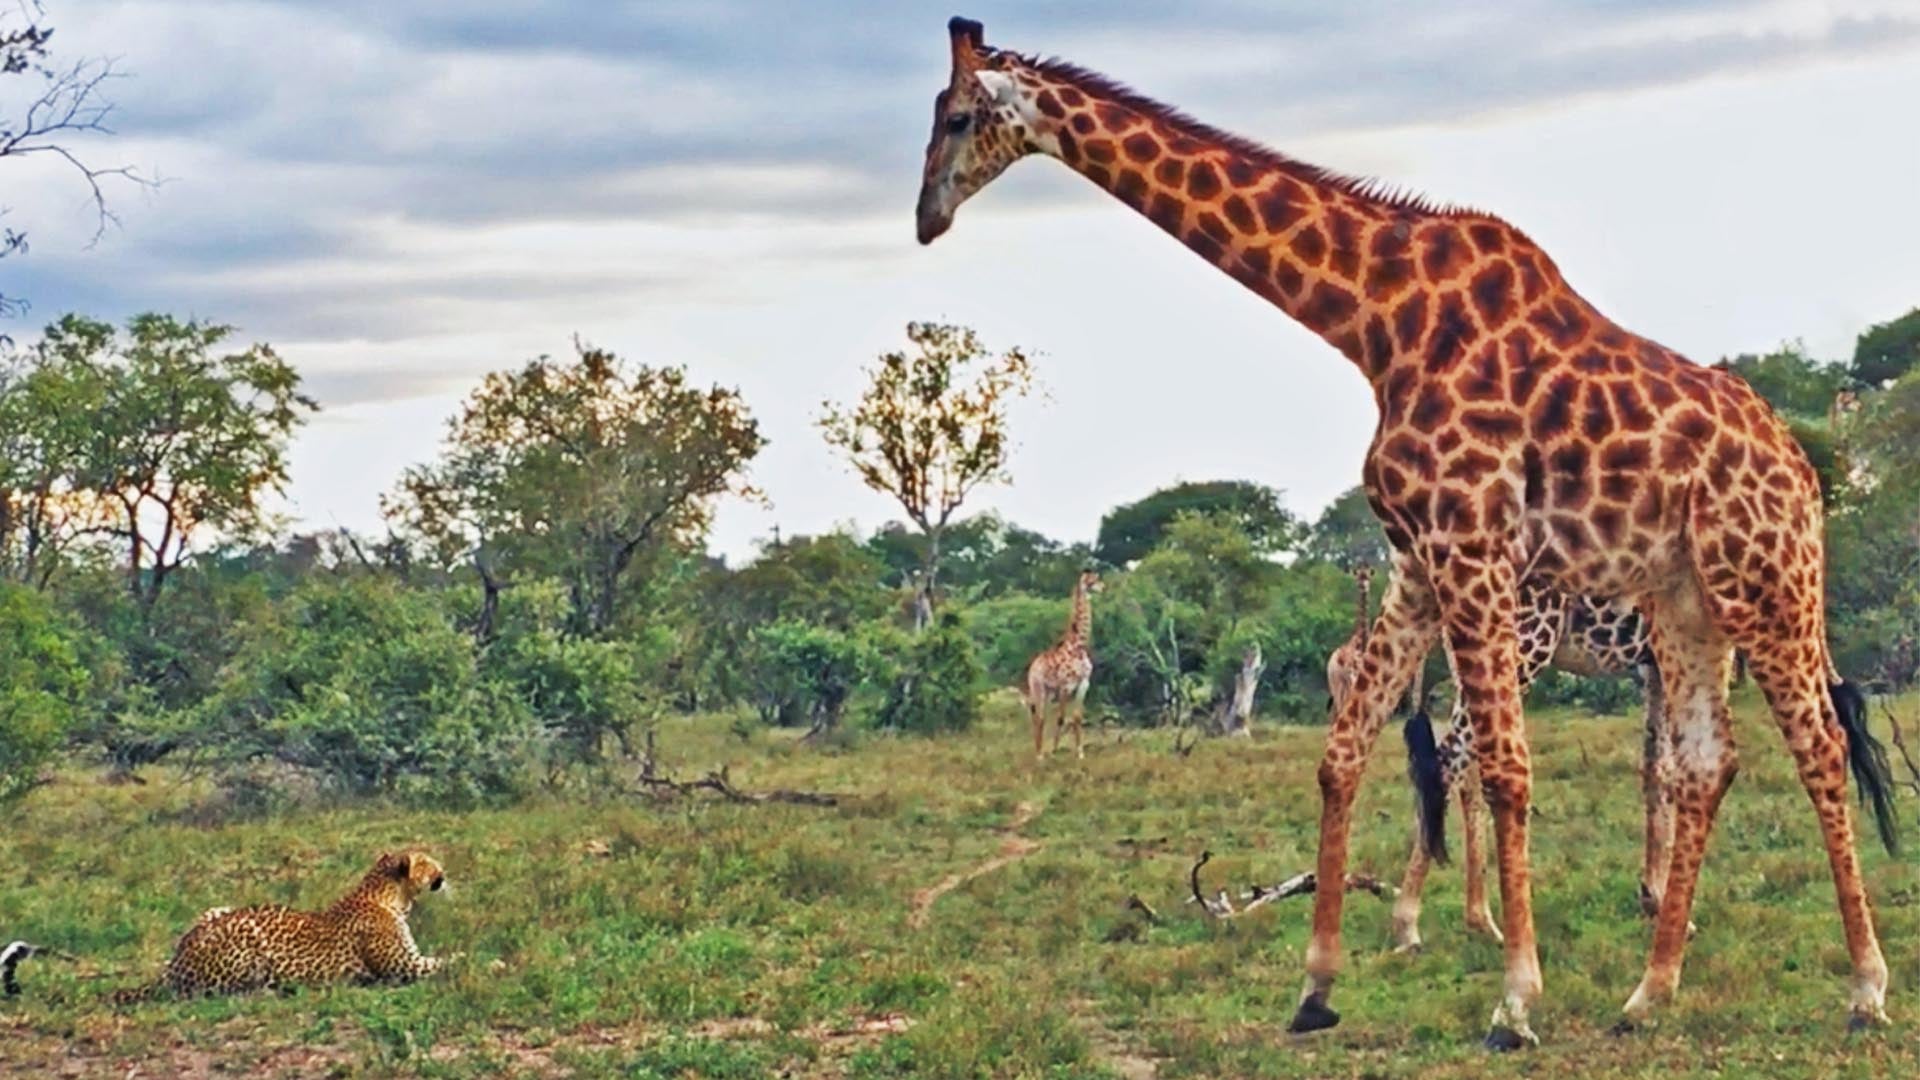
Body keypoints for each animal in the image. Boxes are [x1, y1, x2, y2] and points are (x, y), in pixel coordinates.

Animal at [1025, 568, 1102, 760]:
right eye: (1092, 580)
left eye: (1098, 579)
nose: (1103, 587)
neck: (1078, 646)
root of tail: (1032, 667)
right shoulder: (1066, 686)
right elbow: (1061, 718)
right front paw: (1054, 750)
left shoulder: (1083, 684)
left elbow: (1076, 717)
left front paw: (1080, 752)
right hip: (1038, 688)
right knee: (1039, 717)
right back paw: (1039, 755)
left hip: (1050, 692)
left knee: (1040, 716)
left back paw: (1040, 751)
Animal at [1325, 579, 1675, 953]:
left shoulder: (1655, 664)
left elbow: (1655, 768)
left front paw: (1654, 899)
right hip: (1522, 645)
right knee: (1447, 762)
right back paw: (1408, 925)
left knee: (1465, 774)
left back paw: (1482, 922)